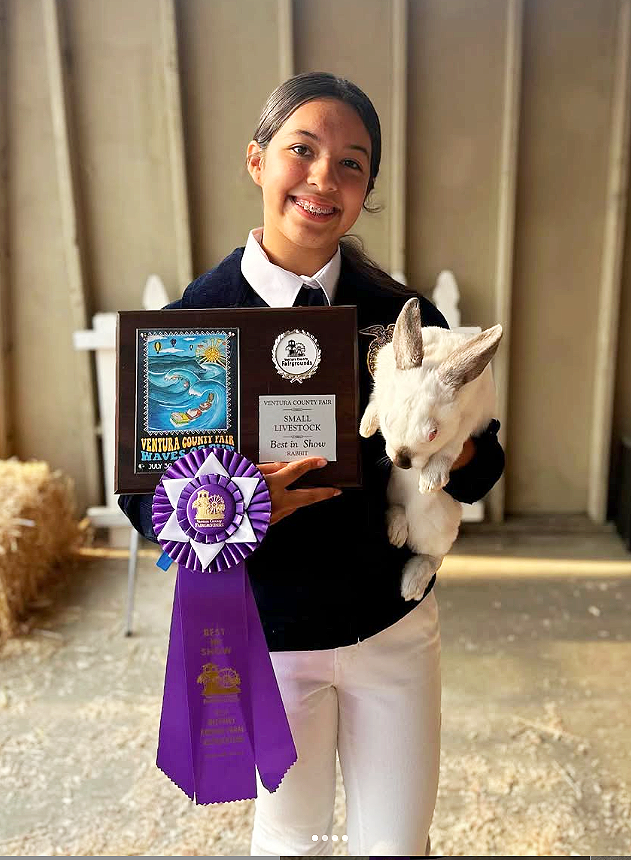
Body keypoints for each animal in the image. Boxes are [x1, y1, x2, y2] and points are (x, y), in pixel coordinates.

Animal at [359, 297, 502, 601]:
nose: (402, 461)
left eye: (432, 433)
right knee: (396, 509)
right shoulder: (380, 388)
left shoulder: (465, 426)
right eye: (390, 420)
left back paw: (411, 585)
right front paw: (366, 426)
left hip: (438, 532)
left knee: (432, 557)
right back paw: (397, 532)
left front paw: (430, 481)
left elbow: (449, 450)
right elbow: (374, 401)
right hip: (392, 494)